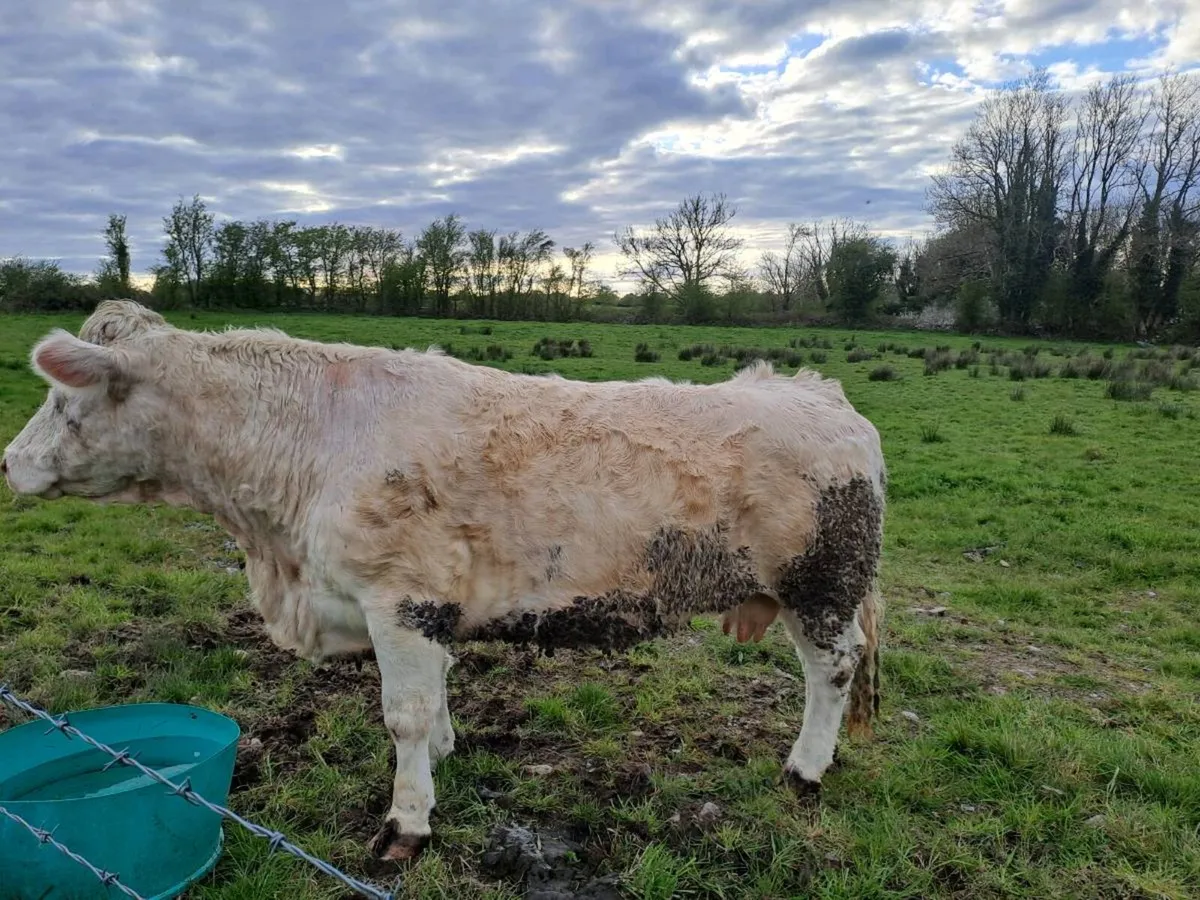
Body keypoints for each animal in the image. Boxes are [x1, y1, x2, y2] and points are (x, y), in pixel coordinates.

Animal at [2, 300, 887, 862]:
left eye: (63, 393)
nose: (10, 462)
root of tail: (818, 393)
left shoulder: (401, 597)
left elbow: (404, 714)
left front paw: (408, 823)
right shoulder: (424, 605)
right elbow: (437, 700)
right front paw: (448, 752)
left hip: (822, 585)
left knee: (833, 672)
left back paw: (805, 769)